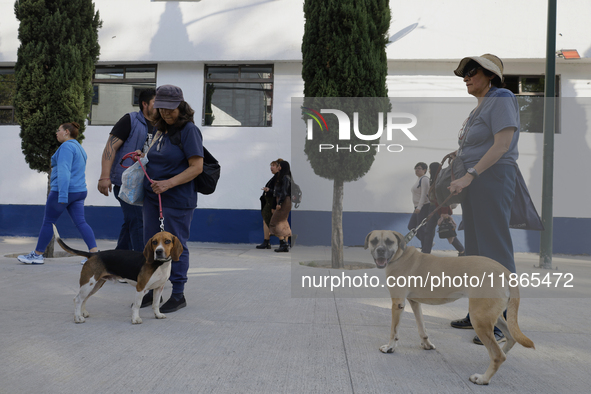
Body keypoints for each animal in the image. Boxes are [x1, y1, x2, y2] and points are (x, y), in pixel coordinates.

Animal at [53, 225, 184, 324]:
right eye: (154, 242)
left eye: (167, 241)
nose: (158, 251)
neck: (159, 264)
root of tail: (93, 254)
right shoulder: (140, 288)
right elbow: (137, 305)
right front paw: (135, 319)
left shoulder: (158, 288)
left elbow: (155, 304)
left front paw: (157, 315)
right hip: (88, 284)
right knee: (77, 299)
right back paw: (78, 318)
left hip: (95, 285)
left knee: (84, 299)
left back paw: (83, 313)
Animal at [366, 229, 536, 386]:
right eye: (374, 241)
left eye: (389, 242)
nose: (380, 250)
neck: (400, 255)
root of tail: (505, 271)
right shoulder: (415, 303)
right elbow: (422, 327)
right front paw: (426, 344)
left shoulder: (398, 303)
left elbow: (394, 331)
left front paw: (390, 347)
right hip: (491, 315)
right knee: (509, 340)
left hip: (479, 318)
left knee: (497, 355)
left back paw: (483, 378)